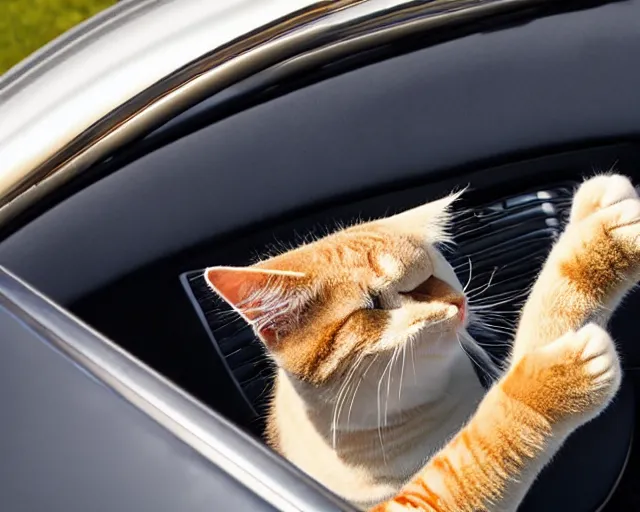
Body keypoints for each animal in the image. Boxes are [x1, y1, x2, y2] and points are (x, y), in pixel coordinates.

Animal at [206, 174, 640, 510]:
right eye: (375, 302)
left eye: (434, 271)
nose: (457, 304)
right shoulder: (415, 498)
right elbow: (479, 448)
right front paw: (555, 380)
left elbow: (548, 309)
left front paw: (596, 220)